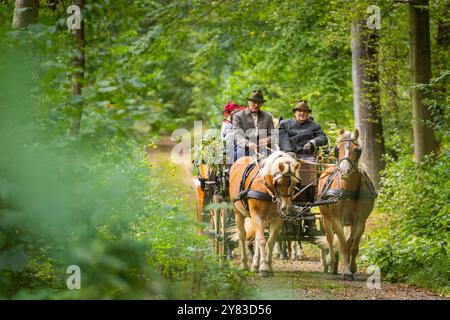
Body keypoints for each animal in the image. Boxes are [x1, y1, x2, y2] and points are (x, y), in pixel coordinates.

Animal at [316, 129, 376, 280]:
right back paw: (330, 261)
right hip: (326, 218)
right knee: (330, 238)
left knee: (348, 240)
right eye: (337, 149)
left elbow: (353, 246)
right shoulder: (337, 220)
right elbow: (342, 245)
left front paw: (352, 268)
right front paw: (347, 272)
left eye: (357, 150)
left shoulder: (360, 221)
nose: (344, 171)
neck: (349, 190)